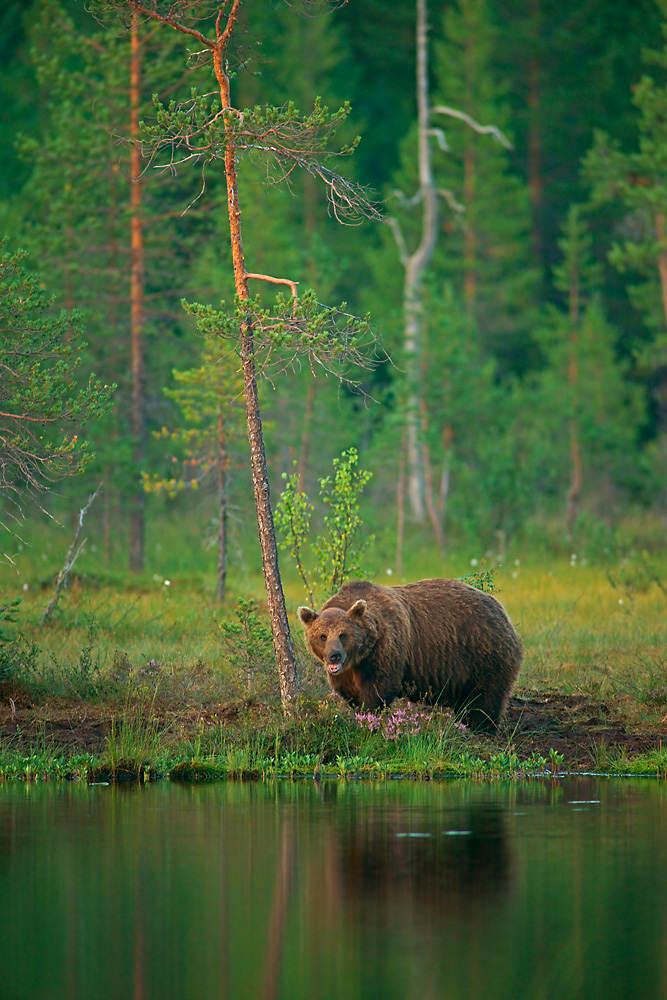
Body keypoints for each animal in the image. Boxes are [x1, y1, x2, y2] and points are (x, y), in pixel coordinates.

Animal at [300, 580, 524, 728]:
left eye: (343, 634)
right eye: (322, 636)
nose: (334, 655)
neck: (359, 657)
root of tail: (502, 612)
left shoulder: (386, 648)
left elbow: (378, 689)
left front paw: (370, 717)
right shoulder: (349, 671)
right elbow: (350, 693)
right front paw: (358, 713)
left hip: (484, 654)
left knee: (485, 699)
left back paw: (481, 729)